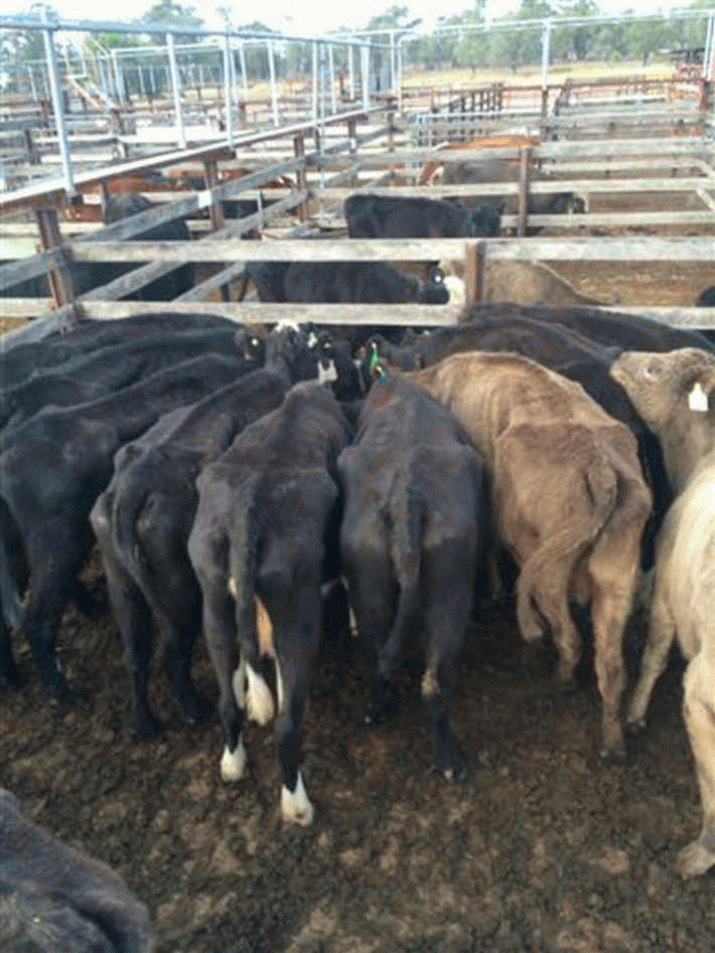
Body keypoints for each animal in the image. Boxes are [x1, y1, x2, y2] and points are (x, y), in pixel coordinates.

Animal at [89, 325, 332, 735]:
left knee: (135, 653)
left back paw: (144, 722)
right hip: (179, 590)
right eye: (309, 343)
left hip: (122, 582)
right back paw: (191, 708)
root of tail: (133, 482)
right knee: (171, 652)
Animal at [187, 382, 353, 825]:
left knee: (227, 703)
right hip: (298, 615)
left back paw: (232, 763)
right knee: (287, 724)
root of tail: (249, 503)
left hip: (213, 601)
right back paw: (297, 806)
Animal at [338, 374, 490, 777]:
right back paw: (448, 761)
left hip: (372, 585)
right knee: (432, 679)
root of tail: (407, 490)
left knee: (383, 659)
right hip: (448, 591)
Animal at [409, 351, 653, 761]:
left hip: (547, 565)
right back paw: (613, 742)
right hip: (616, 579)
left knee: (567, 631)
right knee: (611, 666)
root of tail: (600, 466)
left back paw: (561, 677)